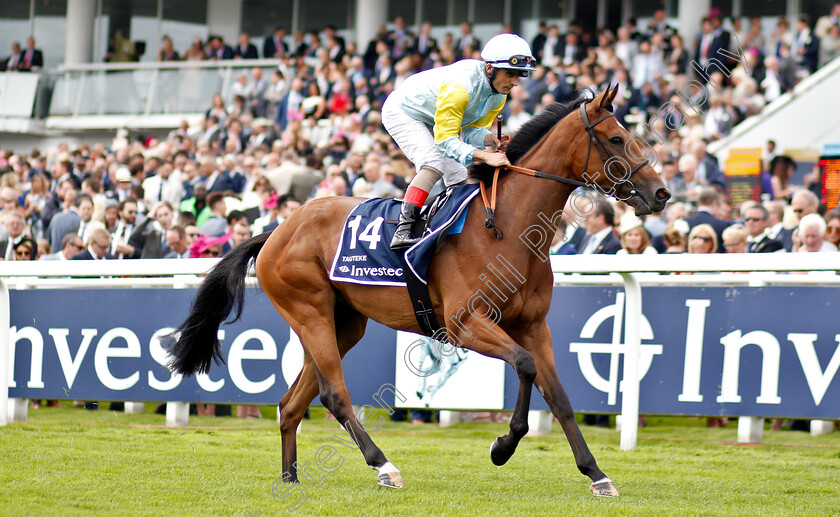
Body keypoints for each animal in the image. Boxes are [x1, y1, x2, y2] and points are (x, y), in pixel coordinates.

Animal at [167, 84, 672, 496]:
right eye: (616, 139)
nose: (662, 193)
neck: (507, 228)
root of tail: (276, 230)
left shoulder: (533, 325)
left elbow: (560, 397)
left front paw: (596, 473)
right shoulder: (465, 323)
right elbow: (525, 367)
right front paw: (502, 446)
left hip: (343, 323)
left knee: (292, 403)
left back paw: (291, 478)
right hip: (309, 312)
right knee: (333, 394)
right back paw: (383, 466)